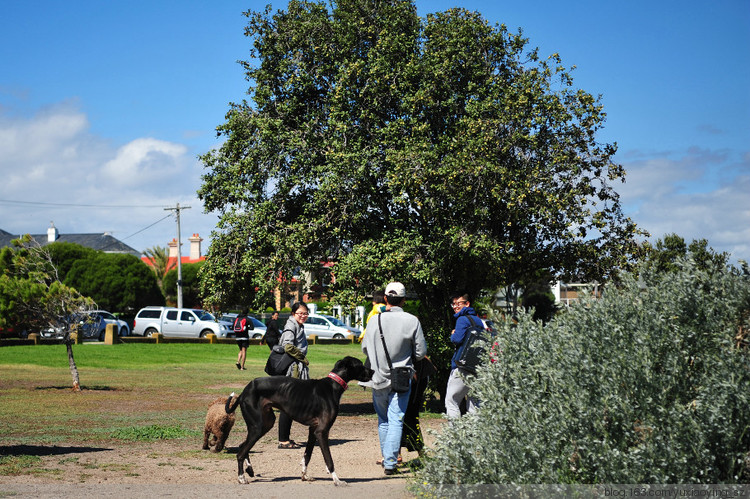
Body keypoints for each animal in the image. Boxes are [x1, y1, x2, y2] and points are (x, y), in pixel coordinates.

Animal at [225, 356, 374, 484]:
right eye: (360, 365)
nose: (372, 371)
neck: (333, 385)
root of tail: (244, 392)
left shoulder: (313, 430)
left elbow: (307, 455)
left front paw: (305, 475)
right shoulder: (322, 431)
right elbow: (329, 459)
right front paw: (337, 480)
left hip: (266, 423)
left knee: (242, 446)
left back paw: (250, 470)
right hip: (258, 427)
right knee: (240, 452)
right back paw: (241, 478)